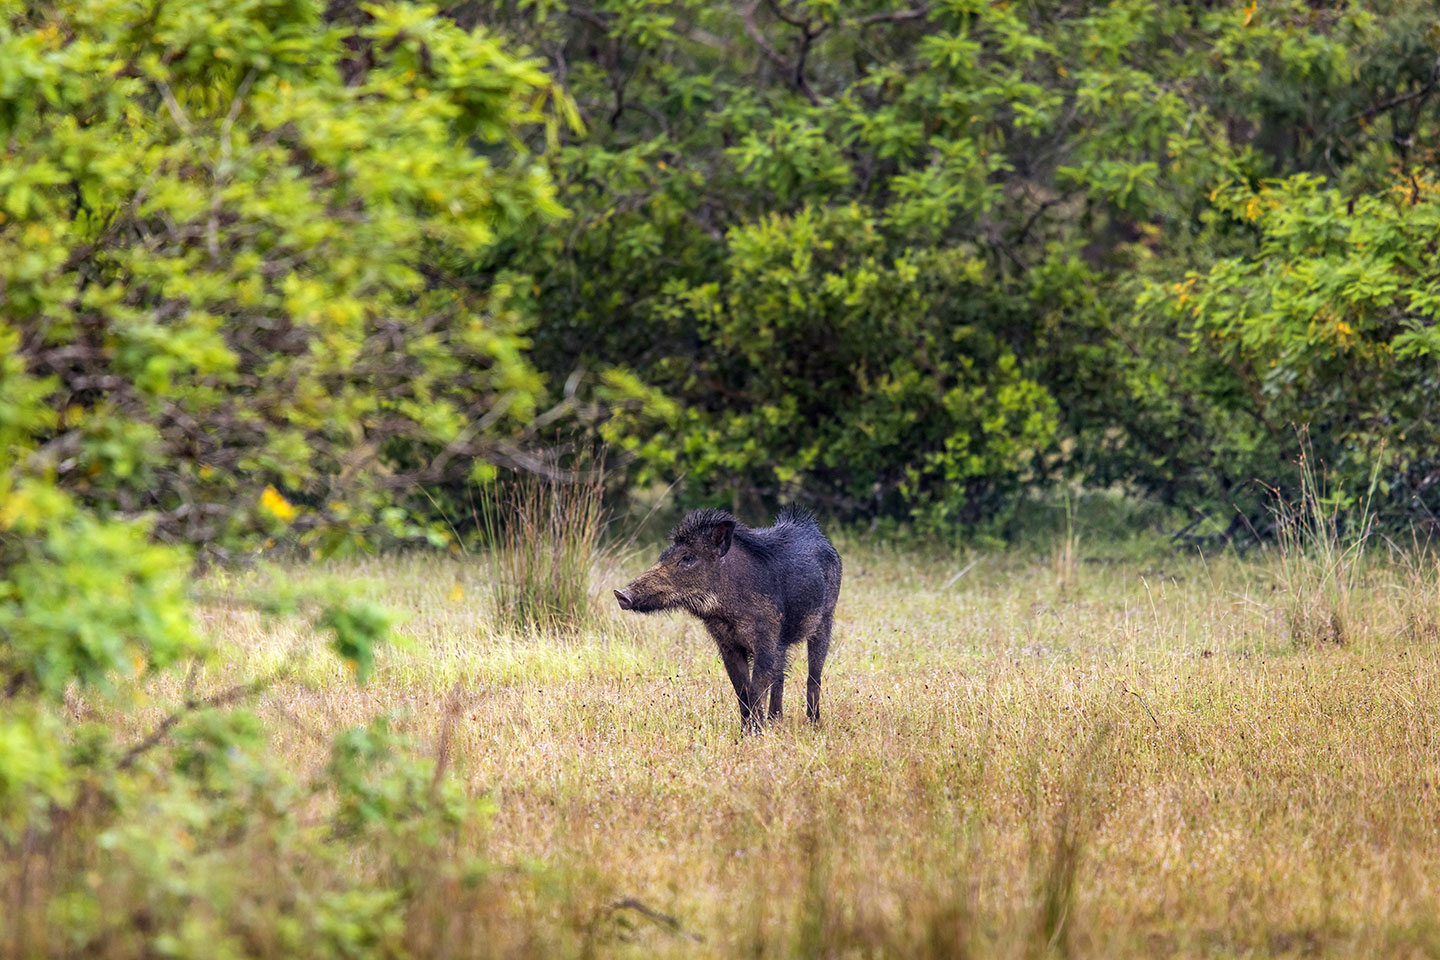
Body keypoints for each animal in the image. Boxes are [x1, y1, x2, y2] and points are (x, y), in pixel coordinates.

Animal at [614, 506, 842, 731]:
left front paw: (756, 733)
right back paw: (776, 723)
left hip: (825, 619)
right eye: (664, 554)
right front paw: (745, 733)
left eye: (687, 558)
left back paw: (813, 724)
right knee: (780, 678)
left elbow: (756, 690)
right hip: (784, 642)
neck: (726, 615)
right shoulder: (728, 646)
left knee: (813, 676)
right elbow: (742, 690)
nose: (620, 594)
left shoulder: (766, 641)